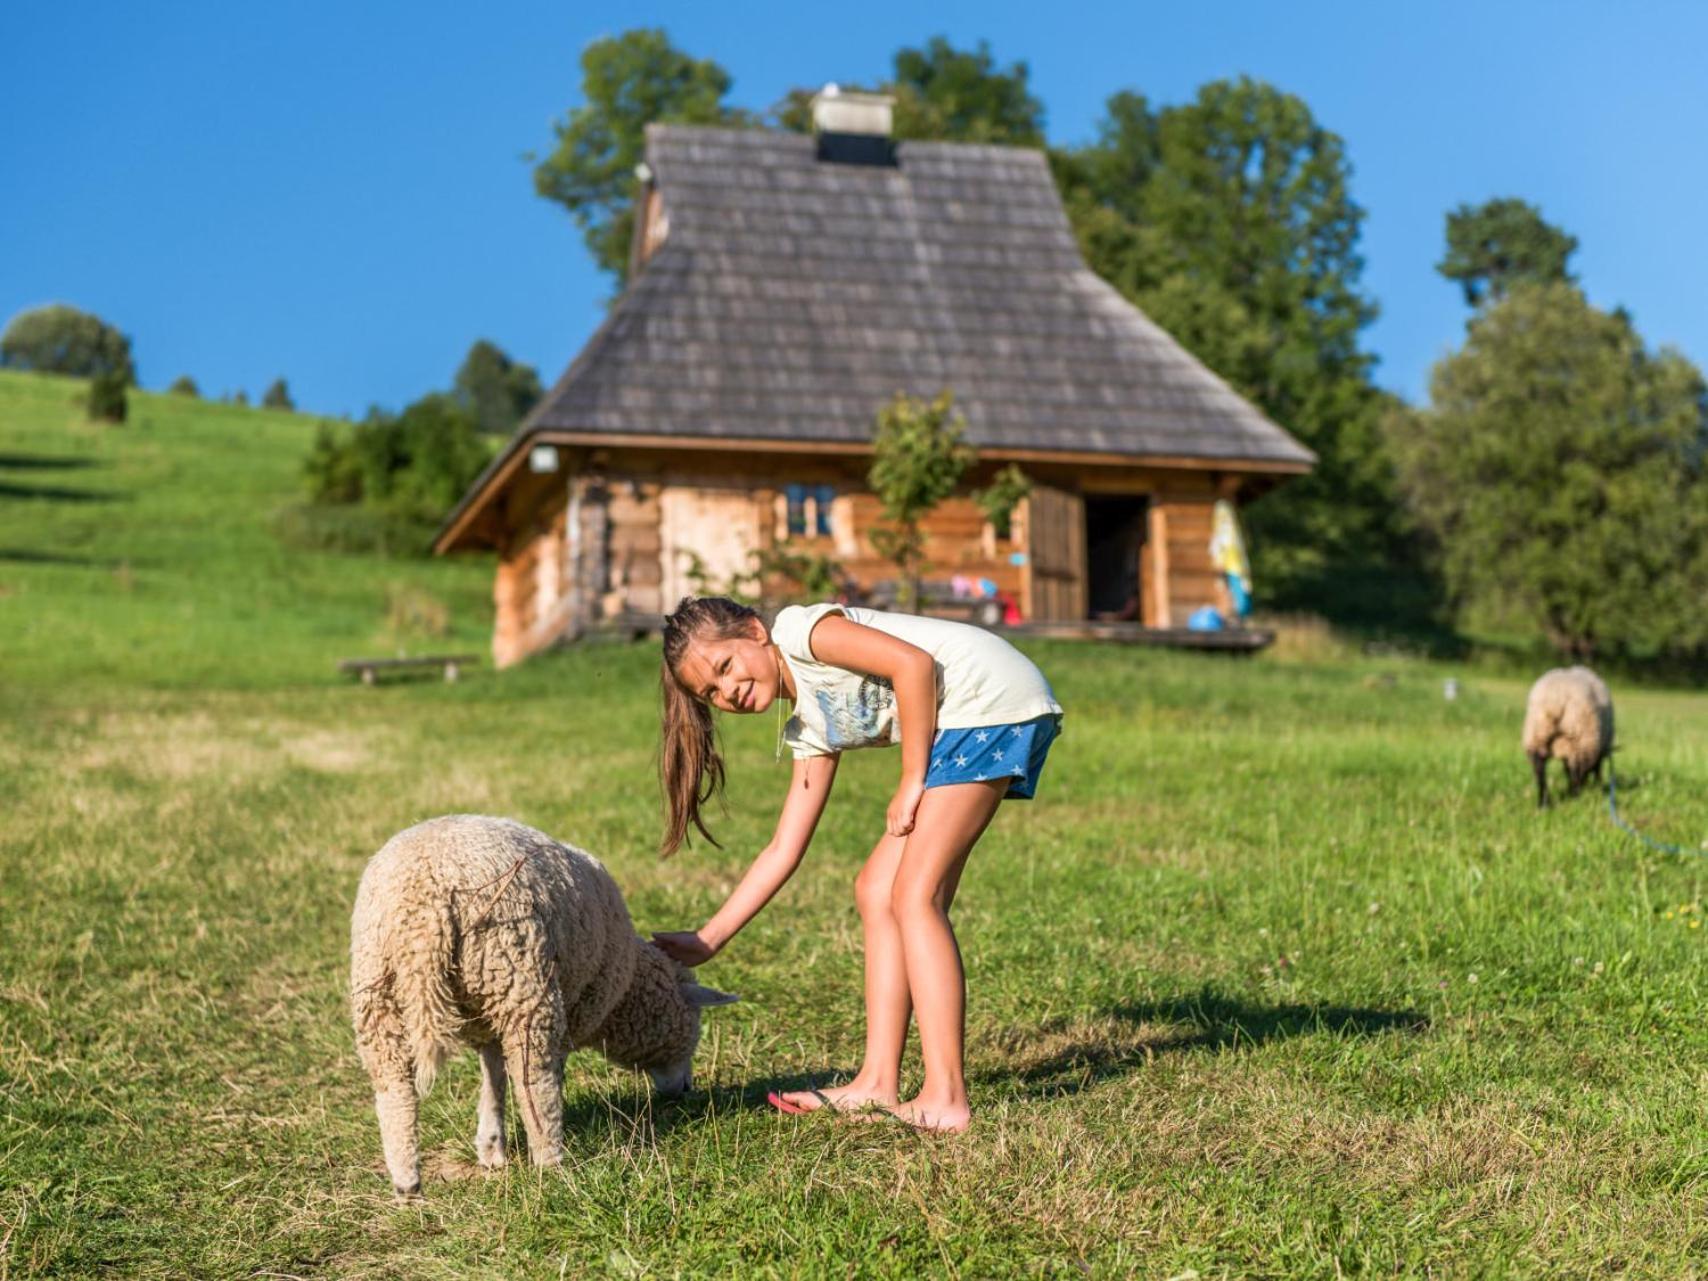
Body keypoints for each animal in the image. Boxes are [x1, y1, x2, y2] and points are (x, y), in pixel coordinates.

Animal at [350, 816, 737, 1202]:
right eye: (694, 1027)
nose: (685, 1089)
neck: (625, 989)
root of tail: (423, 908)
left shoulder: (487, 1020)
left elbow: (493, 1076)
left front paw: (491, 1147)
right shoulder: (571, 1009)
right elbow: (542, 1072)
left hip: (378, 990)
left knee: (394, 1089)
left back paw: (407, 1184)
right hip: (521, 981)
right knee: (533, 1078)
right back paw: (551, 1160)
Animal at [1523, 666, 1612, 806]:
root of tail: (1556, 699)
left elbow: (1568, 770)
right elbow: (1594, 769)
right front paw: (1597, 785)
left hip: (1536, 736)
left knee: (1540, 772)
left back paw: (1544, 803)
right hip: (1579, 738)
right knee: (1576, 773)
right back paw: (1575, 797)